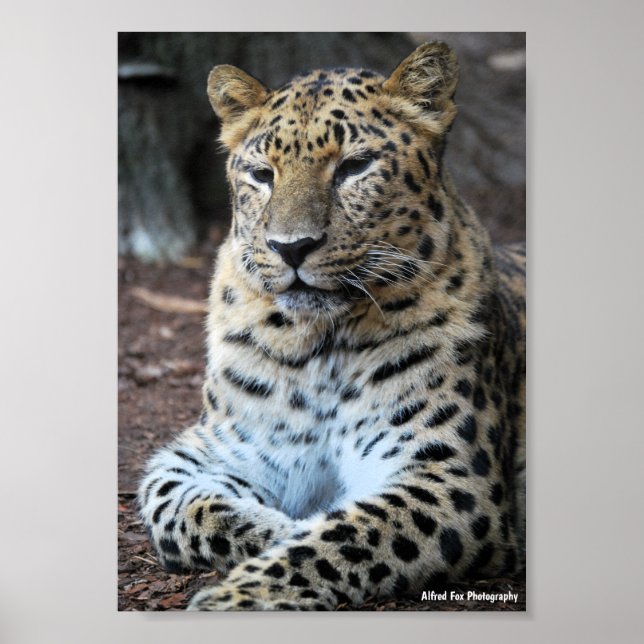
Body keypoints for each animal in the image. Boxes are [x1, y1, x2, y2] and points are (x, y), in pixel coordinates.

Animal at [137, 41, 526, 611]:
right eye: (262, 174)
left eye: (355, 166)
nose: (291, 247)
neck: (318, 345)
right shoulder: (208, 450)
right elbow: (177, 508)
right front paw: (276, 529)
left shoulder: (451, 477)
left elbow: (346, 536)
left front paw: (235, 598)